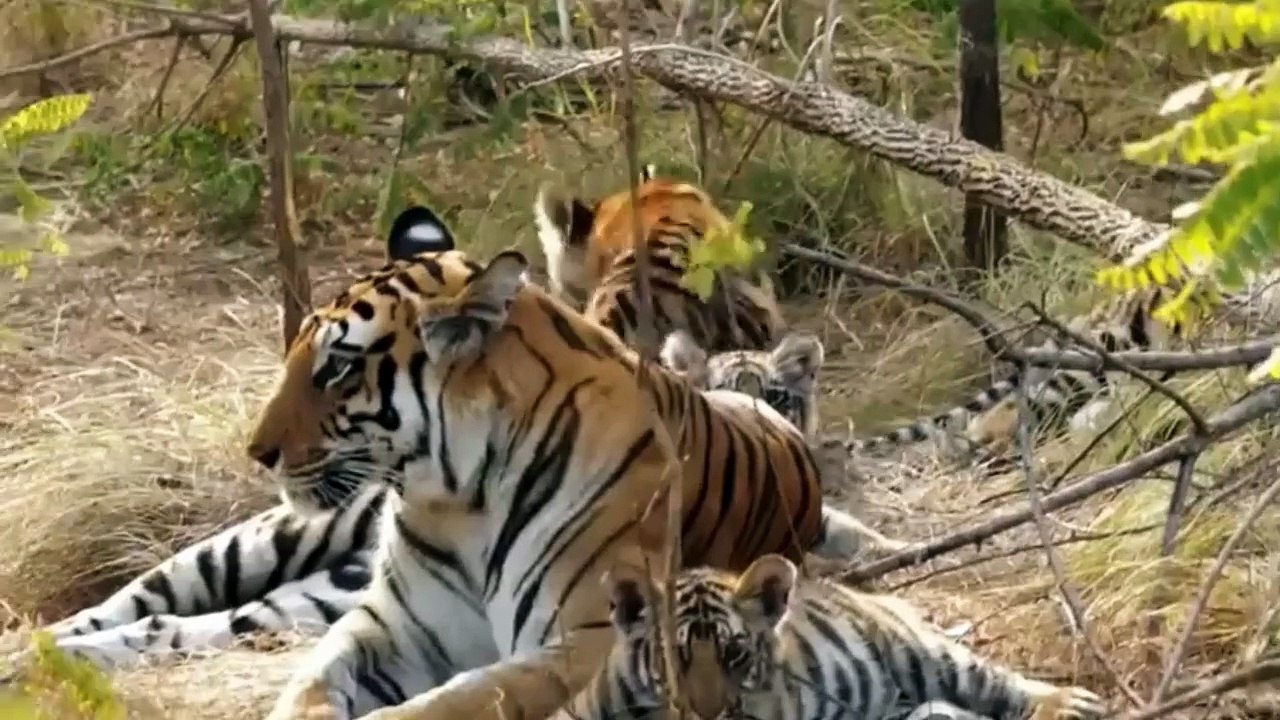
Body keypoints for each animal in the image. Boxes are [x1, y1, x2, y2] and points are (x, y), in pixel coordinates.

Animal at [224, 203, 908, 720]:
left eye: (337, 368)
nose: (258, 453)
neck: (452, 497)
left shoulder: (594, 635)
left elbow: (466, 697)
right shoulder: (393, 624)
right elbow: (313, 678)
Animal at [550, 554, 1107, 720]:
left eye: (735, 653)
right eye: (673, 658)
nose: (707, 716)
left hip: (924, 654)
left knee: (993, 681)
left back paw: (1067, 703)